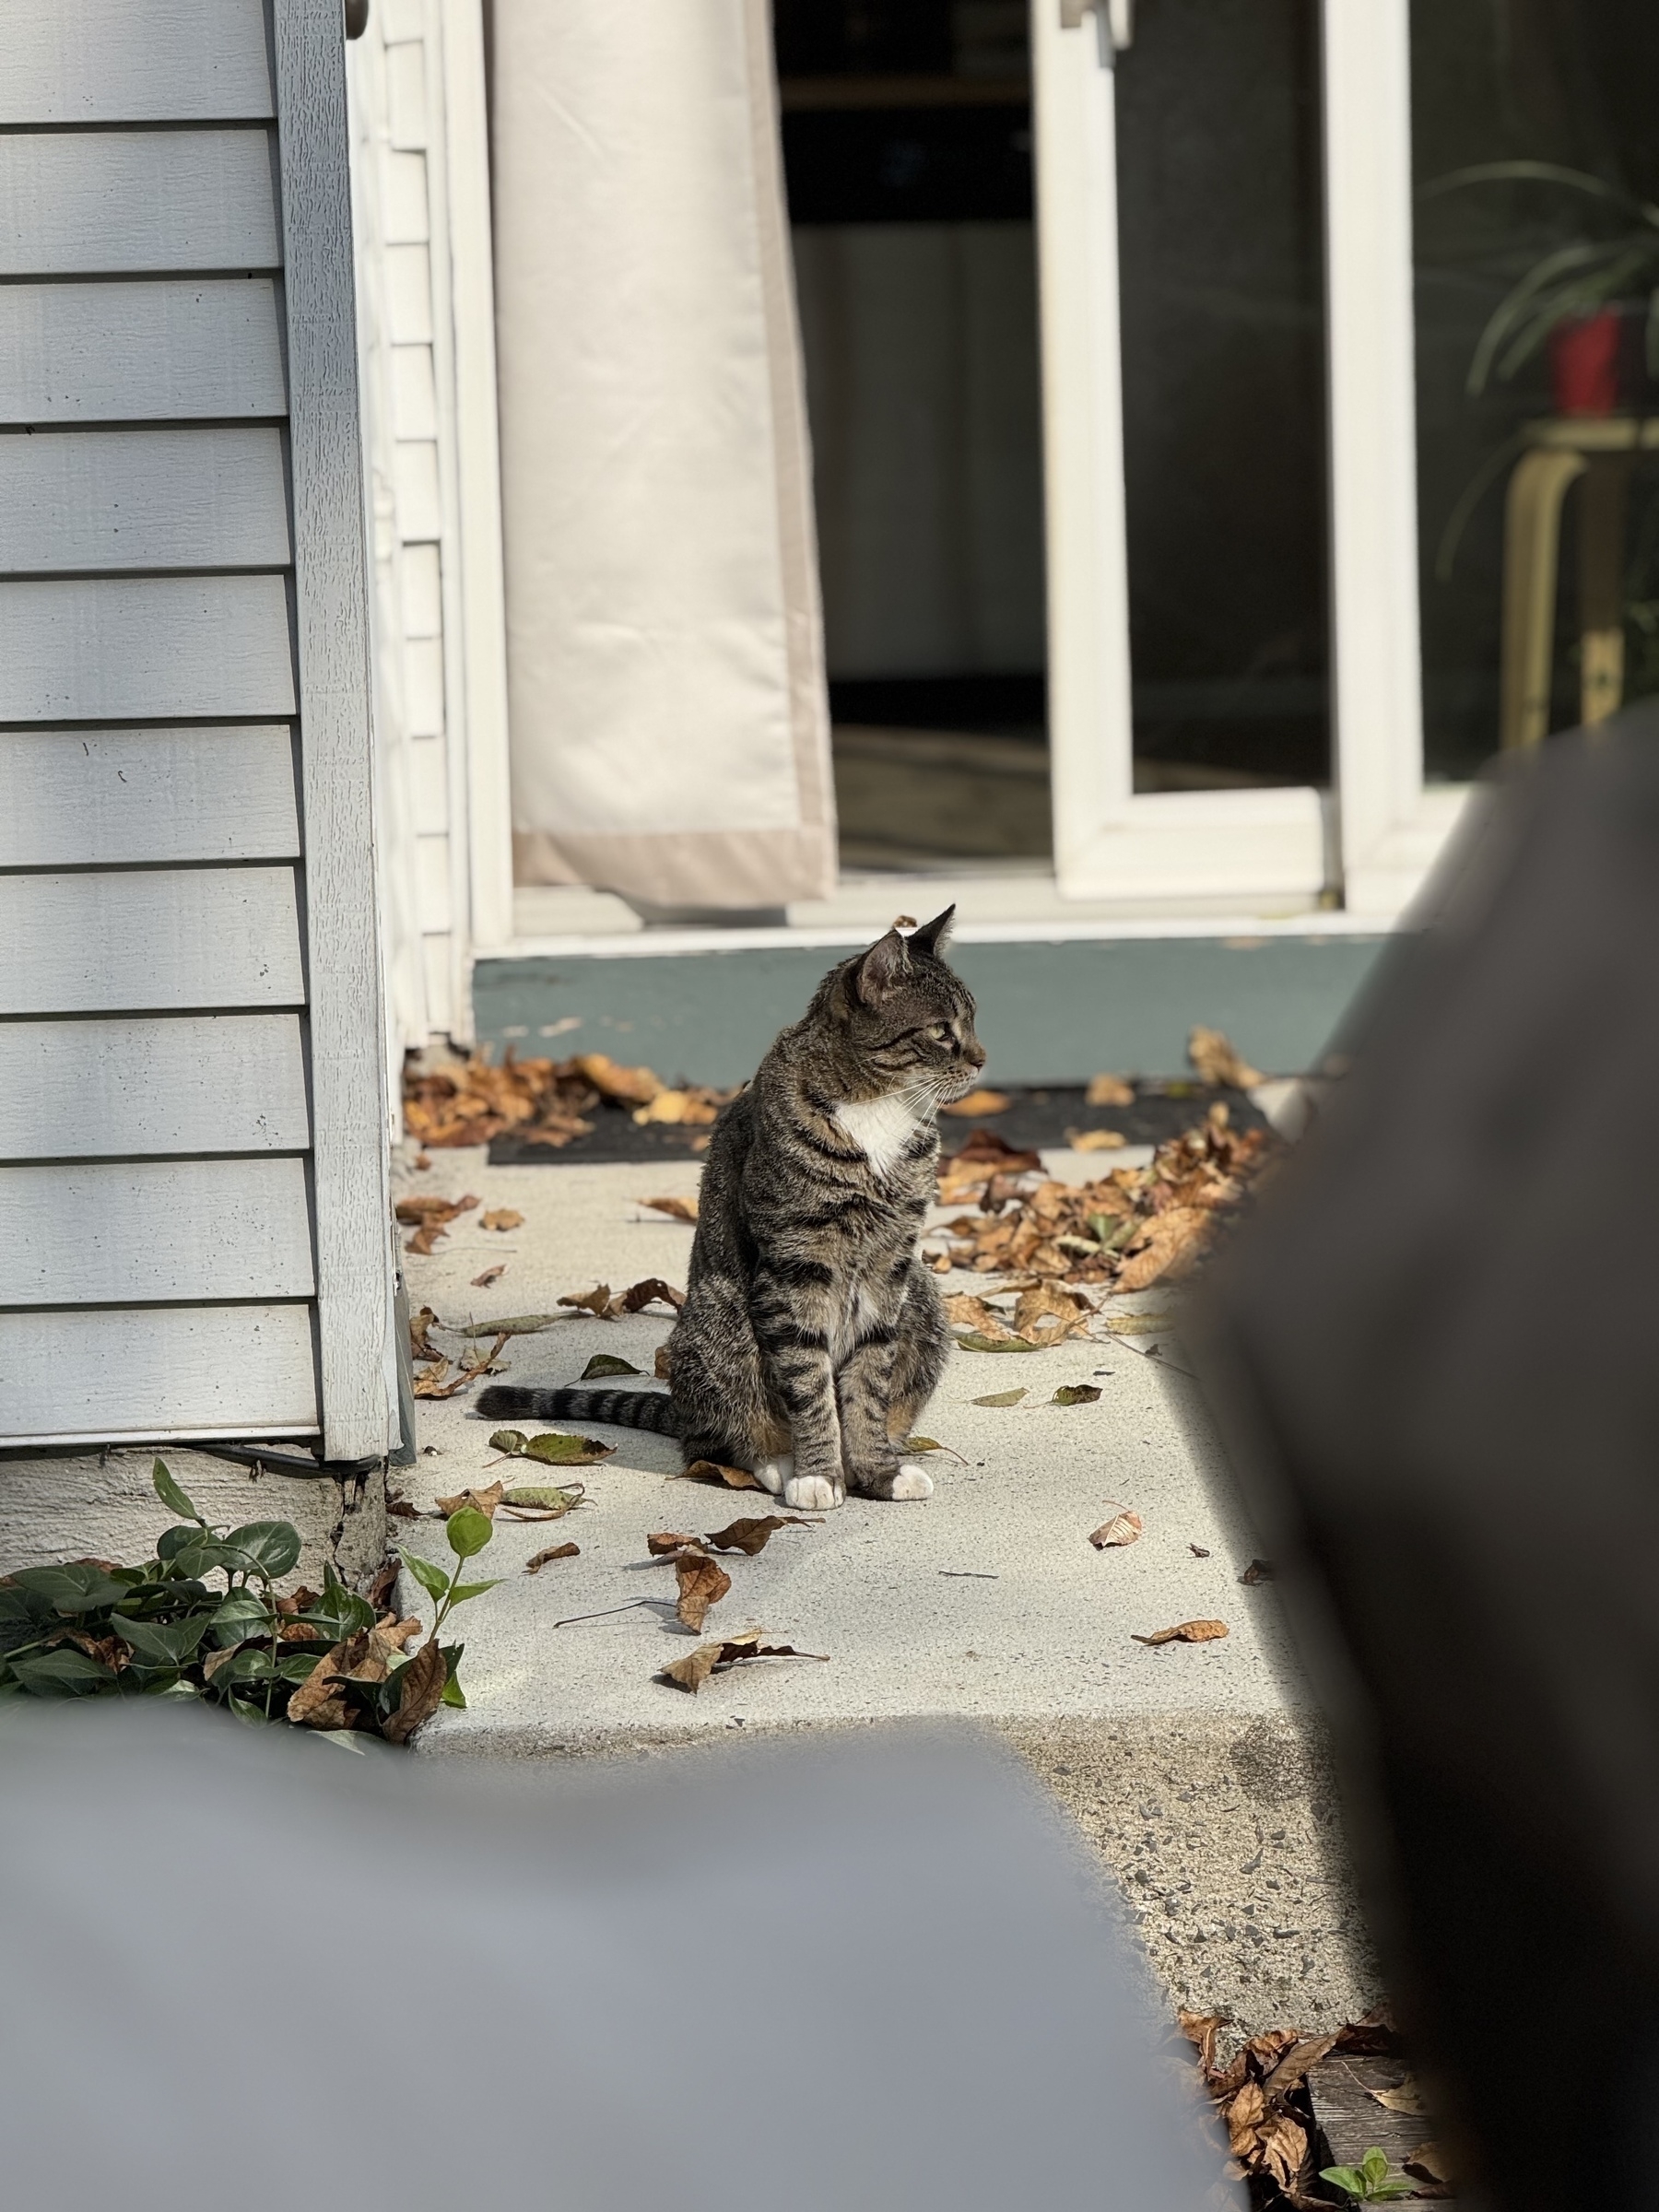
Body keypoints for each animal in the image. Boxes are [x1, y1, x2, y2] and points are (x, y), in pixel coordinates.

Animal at [473, 907, 982, 1512]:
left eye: (973, 1023)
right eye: (941, 1031)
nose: (982, 1059)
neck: (877, 1109)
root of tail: (680, 1406)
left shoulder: (891, 1267)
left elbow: (867, 1386)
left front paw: (876, 1470)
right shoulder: (794, 1265)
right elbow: (809, 1386)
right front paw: (819, 1474)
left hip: (922, 1297)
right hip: (724, 1318)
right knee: (712, 1441)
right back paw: (776, 1464)